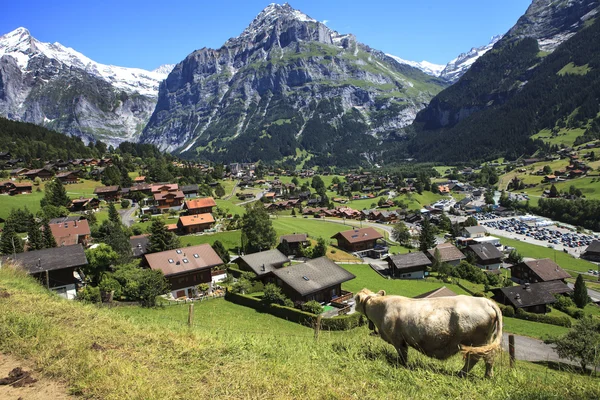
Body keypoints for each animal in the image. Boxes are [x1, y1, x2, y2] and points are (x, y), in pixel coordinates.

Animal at [356, 288, 502, 378]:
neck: (381, 308)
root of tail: (486, 301)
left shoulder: (397, 339)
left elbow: (403, 354)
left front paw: (403, 365)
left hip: (477, 341)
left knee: (477, 358)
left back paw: (468, 374)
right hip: (486, 341)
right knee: (487, 358)